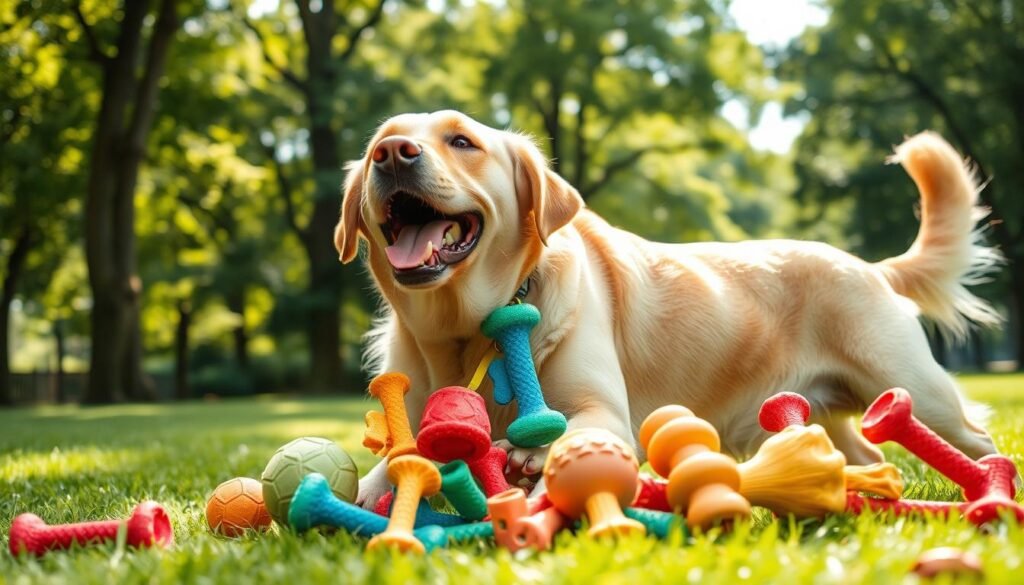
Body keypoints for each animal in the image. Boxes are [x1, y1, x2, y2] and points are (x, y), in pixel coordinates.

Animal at [333, 108, 999, 508]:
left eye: (462, 141)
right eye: (377, 148)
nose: (394, 153)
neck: (466, 330)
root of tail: (869, 265)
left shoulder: (604, 411)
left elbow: (574, 429)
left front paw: (536, 454)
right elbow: (402, 455)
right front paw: (370, 489)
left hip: (917, 392)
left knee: (978, 438)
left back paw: (992, 493)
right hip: (828, 411)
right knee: (863, 454)